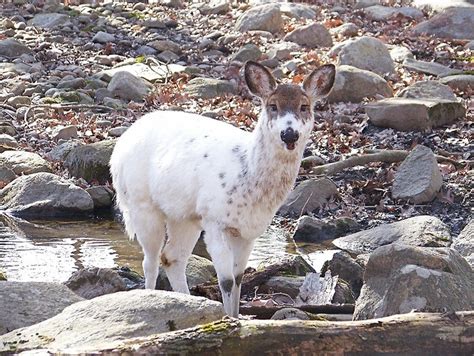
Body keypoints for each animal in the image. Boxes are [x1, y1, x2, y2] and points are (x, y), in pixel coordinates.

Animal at [109, 62, 336, 318]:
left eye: (304, 106)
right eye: (273, 106)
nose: (289, 134)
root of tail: (119, 149)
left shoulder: (247, 231)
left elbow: (238, 278)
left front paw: (235, 316)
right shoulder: (214, 219)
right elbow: (226, 280)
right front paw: (228, 319)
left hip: (185, 217)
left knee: (172, 258)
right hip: (141, 203)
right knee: (150, 261)